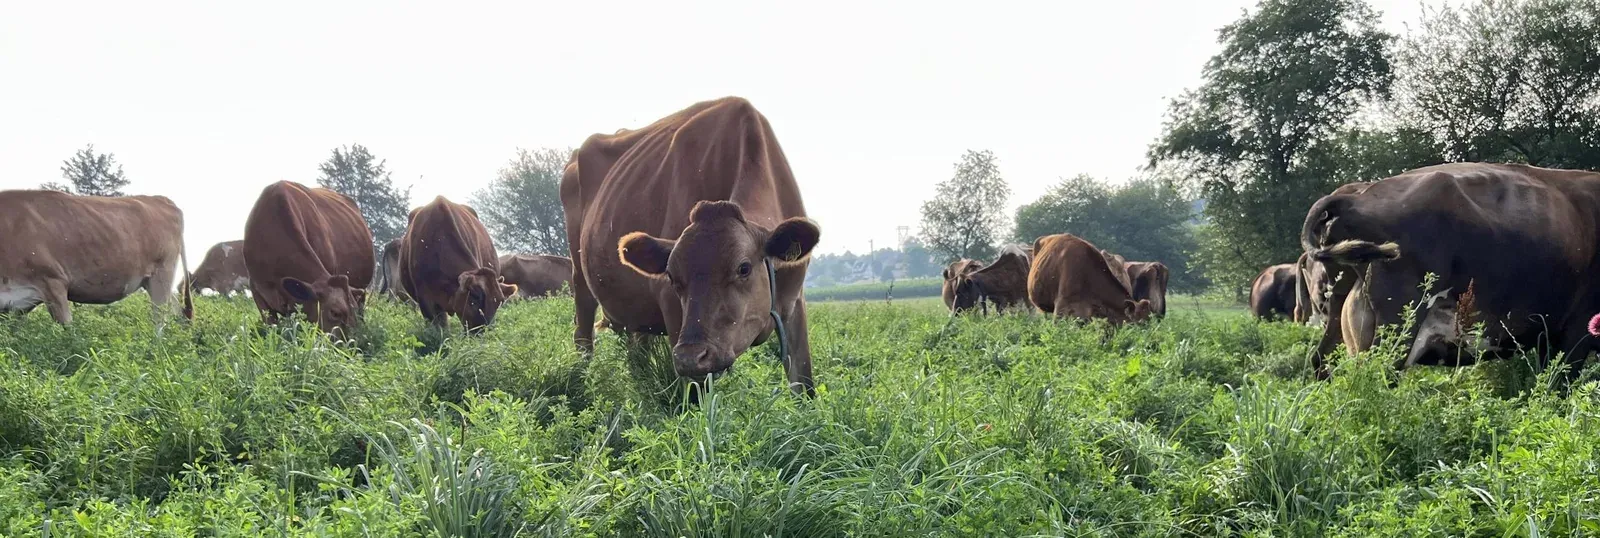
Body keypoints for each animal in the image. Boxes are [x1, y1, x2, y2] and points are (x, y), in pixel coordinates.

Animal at [0, 190, 192, 326]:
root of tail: (162, 199)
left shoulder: (53, 282)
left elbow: (67, 329)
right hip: (152, 281)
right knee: (177, 310)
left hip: (162, 273)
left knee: (160, 319)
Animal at [562, 97, 821, 395]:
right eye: (672, 277)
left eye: (743, 268)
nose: (689, 356)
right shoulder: (672, 310)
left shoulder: (795, 303)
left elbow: (804, 385)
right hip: (579, 277)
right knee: (583, 337)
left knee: (636, 348)